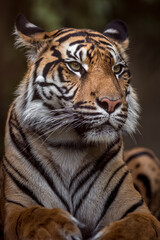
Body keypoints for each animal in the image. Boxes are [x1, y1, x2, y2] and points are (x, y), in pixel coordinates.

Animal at [1, 13, 160, 240]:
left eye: (117, 69)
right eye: (75, 66)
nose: (111, 102)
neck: (69, 147)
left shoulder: (138, 211)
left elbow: (132, 227)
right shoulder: (15, 207)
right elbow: (35, 215)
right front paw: (59, 226)